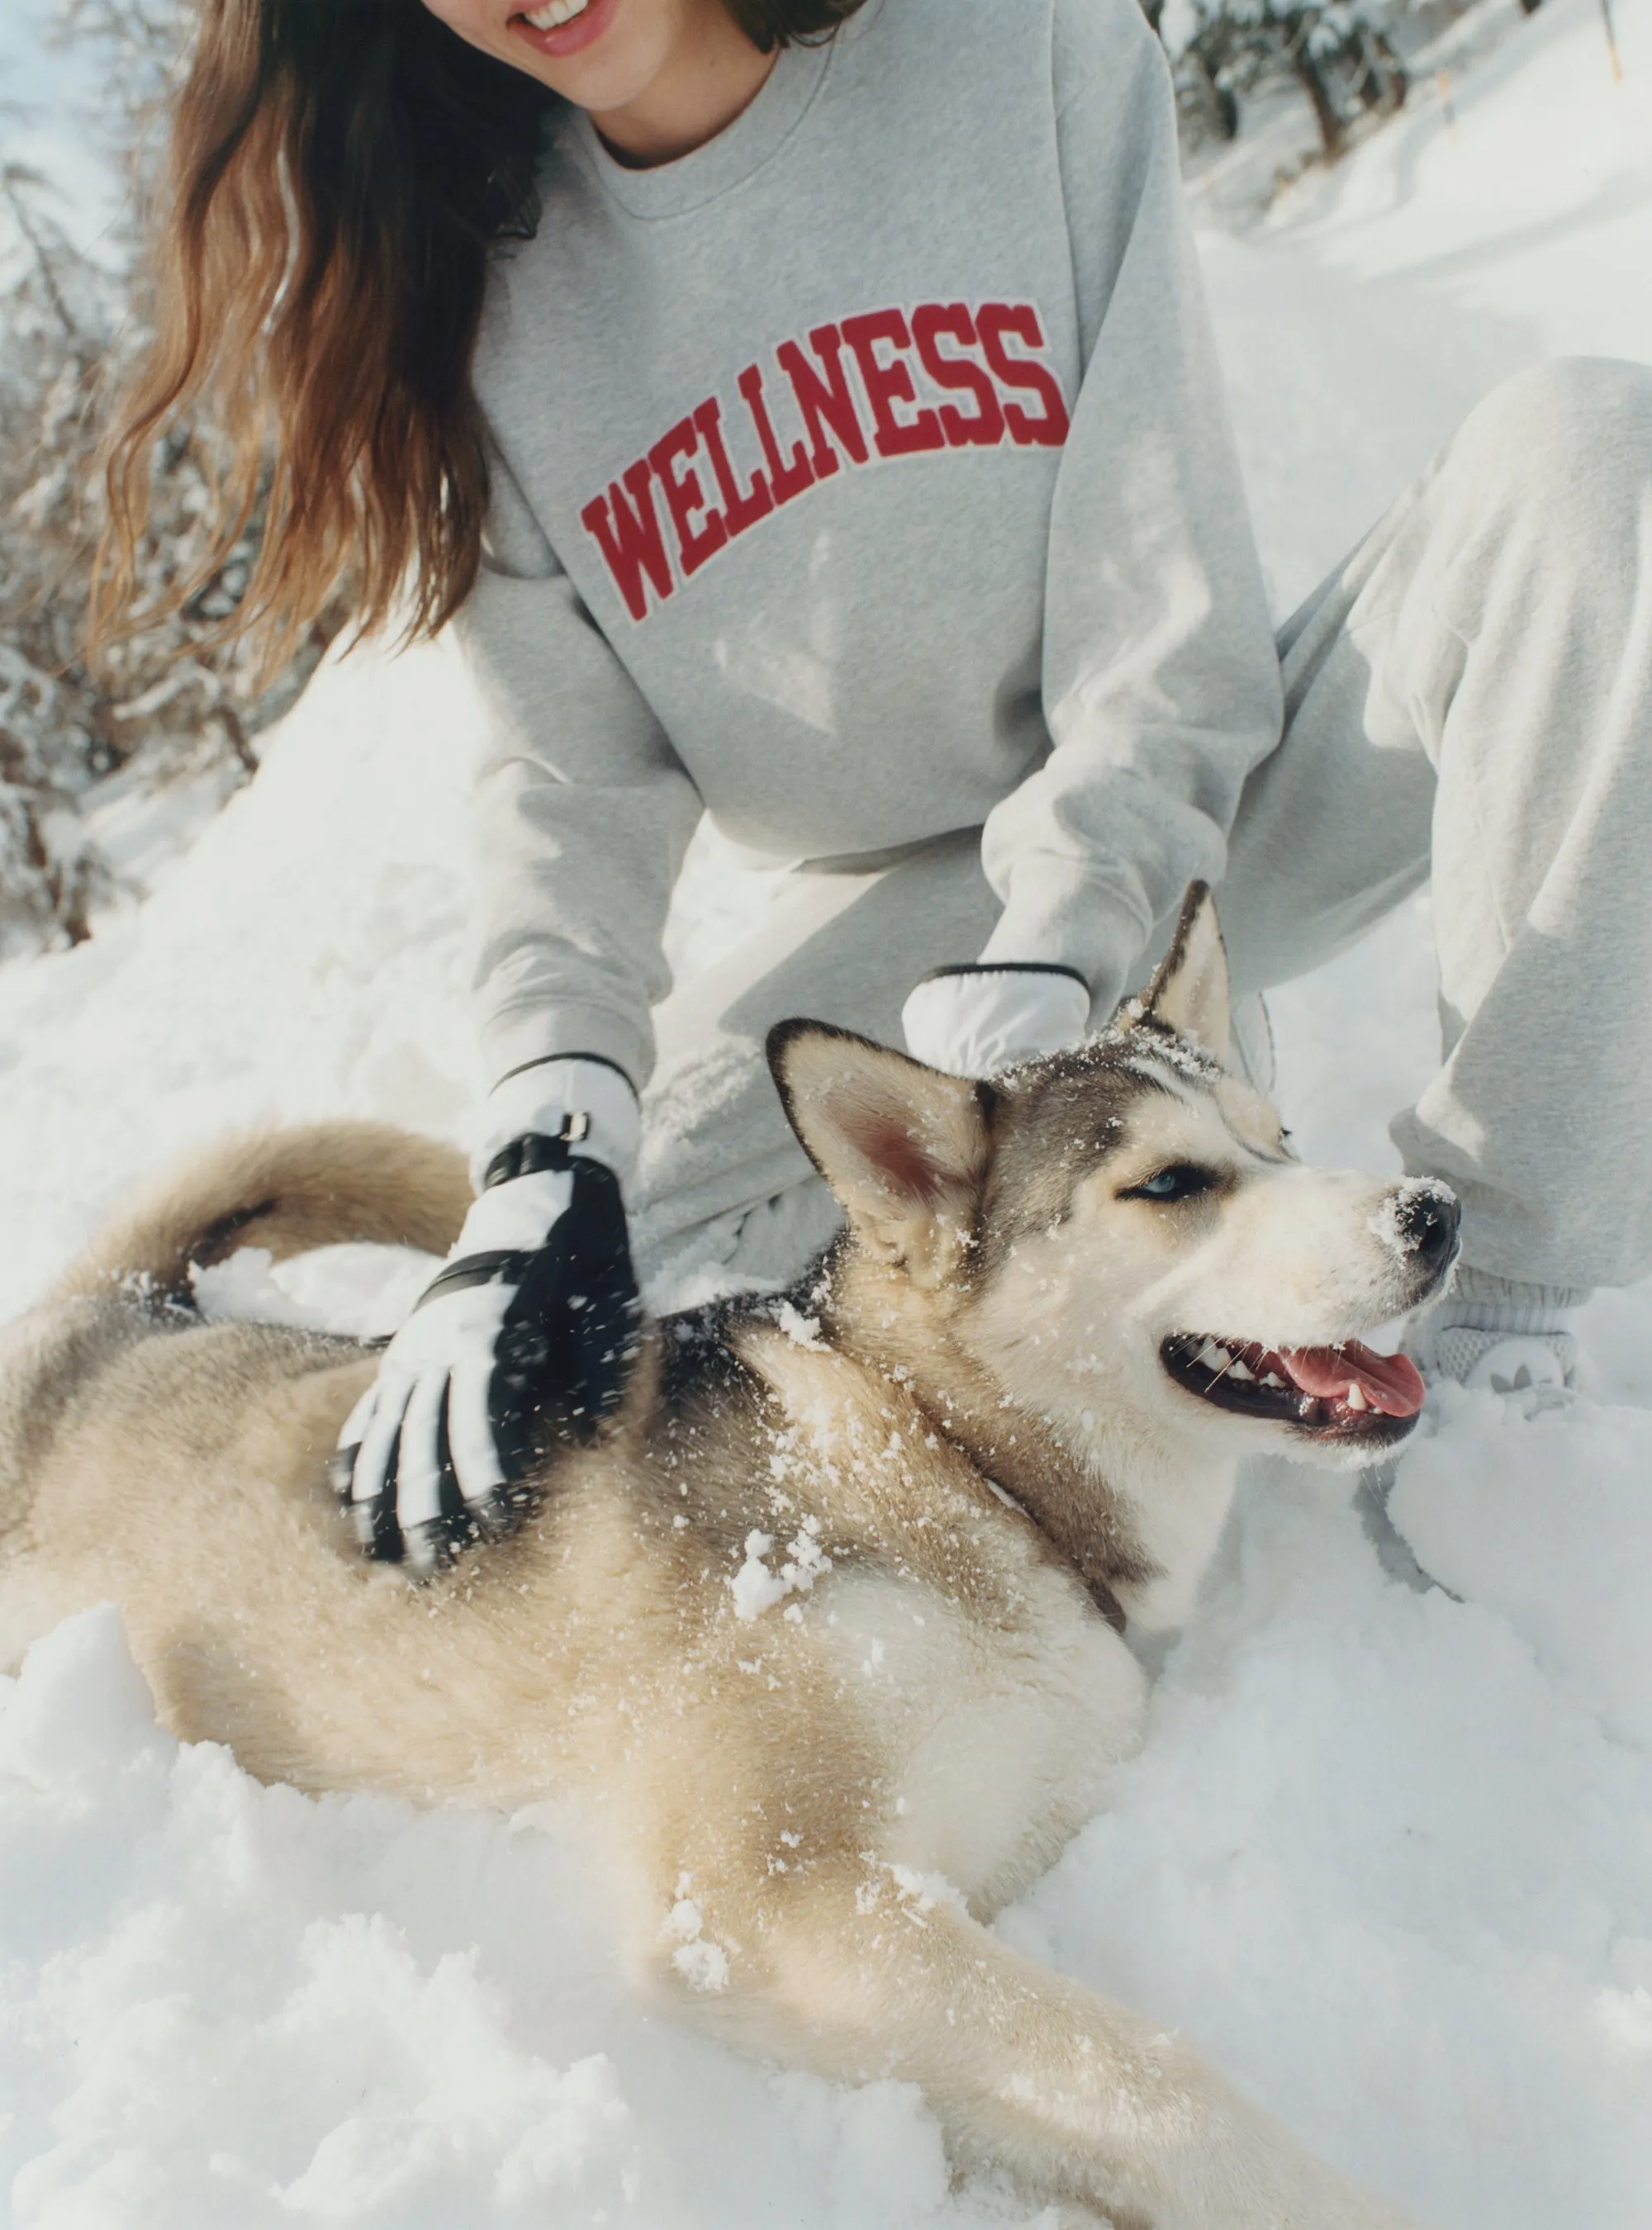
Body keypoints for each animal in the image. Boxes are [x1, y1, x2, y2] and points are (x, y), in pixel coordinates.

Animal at [0, 892, 1444, 2230]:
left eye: (1279, 1137)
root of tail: (119, 1311)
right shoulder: (762, 1902)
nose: (1434, 1213)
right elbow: (1147, 2073)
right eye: (1172, 1185)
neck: (960, 1460)